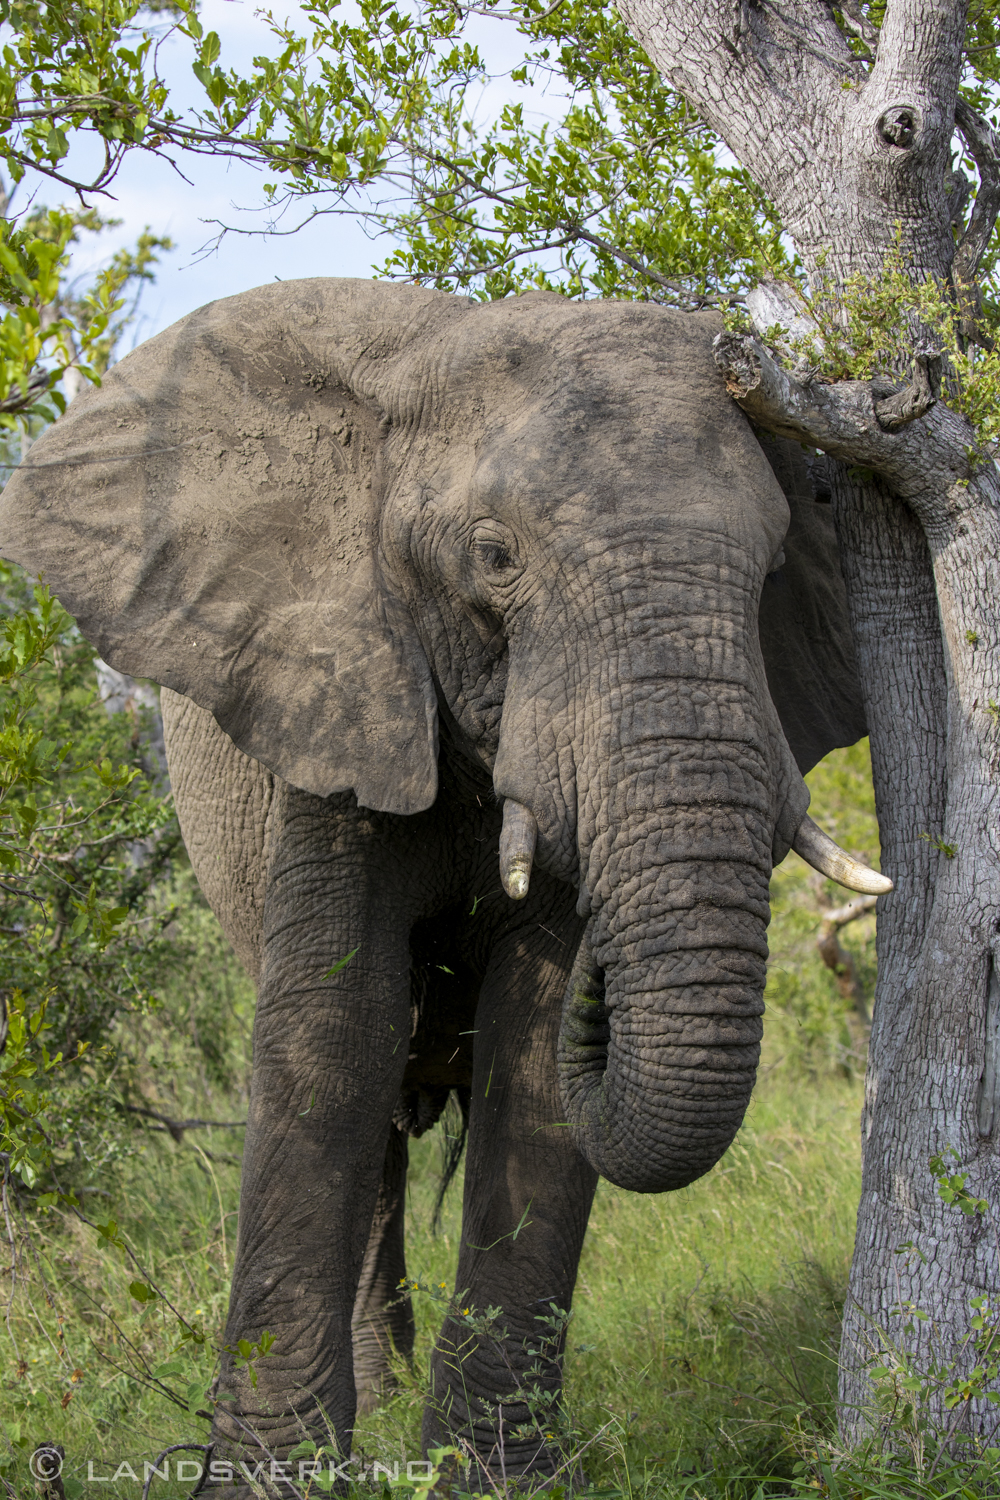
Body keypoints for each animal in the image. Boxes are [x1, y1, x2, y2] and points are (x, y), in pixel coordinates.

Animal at [0, 279, 893, 1476]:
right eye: (494, 557)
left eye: (771, 568)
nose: (610, 972)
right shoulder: (337, 692)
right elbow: (337, 1028)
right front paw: (270, 1476)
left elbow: (531, 1045)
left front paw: (493, 1474)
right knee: (379, 1113)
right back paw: (375, 1404)